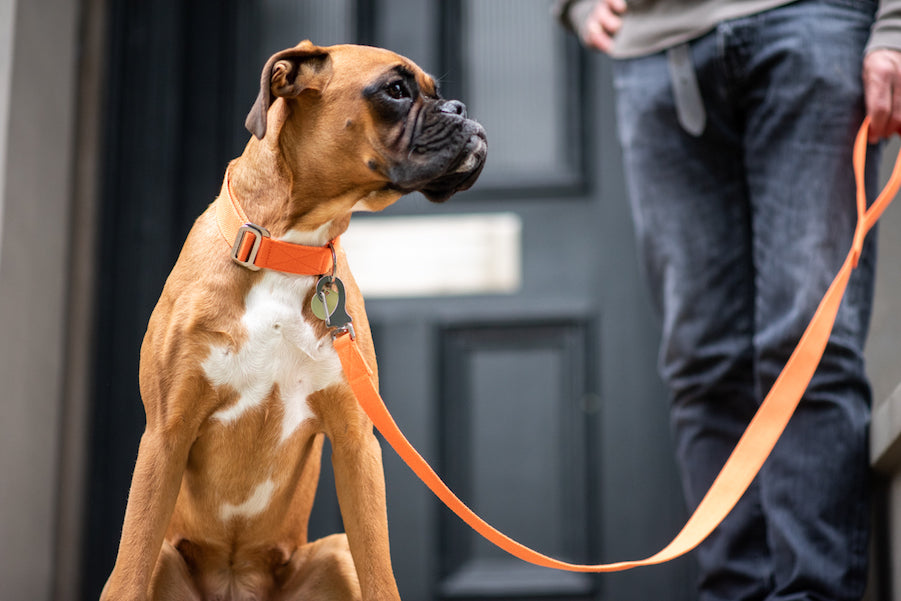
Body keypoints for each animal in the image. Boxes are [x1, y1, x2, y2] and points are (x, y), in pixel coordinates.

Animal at [100, 42, 486, 600]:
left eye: (438, 92)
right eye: (396, 90)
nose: (460, 109)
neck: (286, 248)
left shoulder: (355, 444)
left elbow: (381, 574)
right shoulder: (165, 436)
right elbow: (129, 569)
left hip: (336, 551)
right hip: (166, 553)